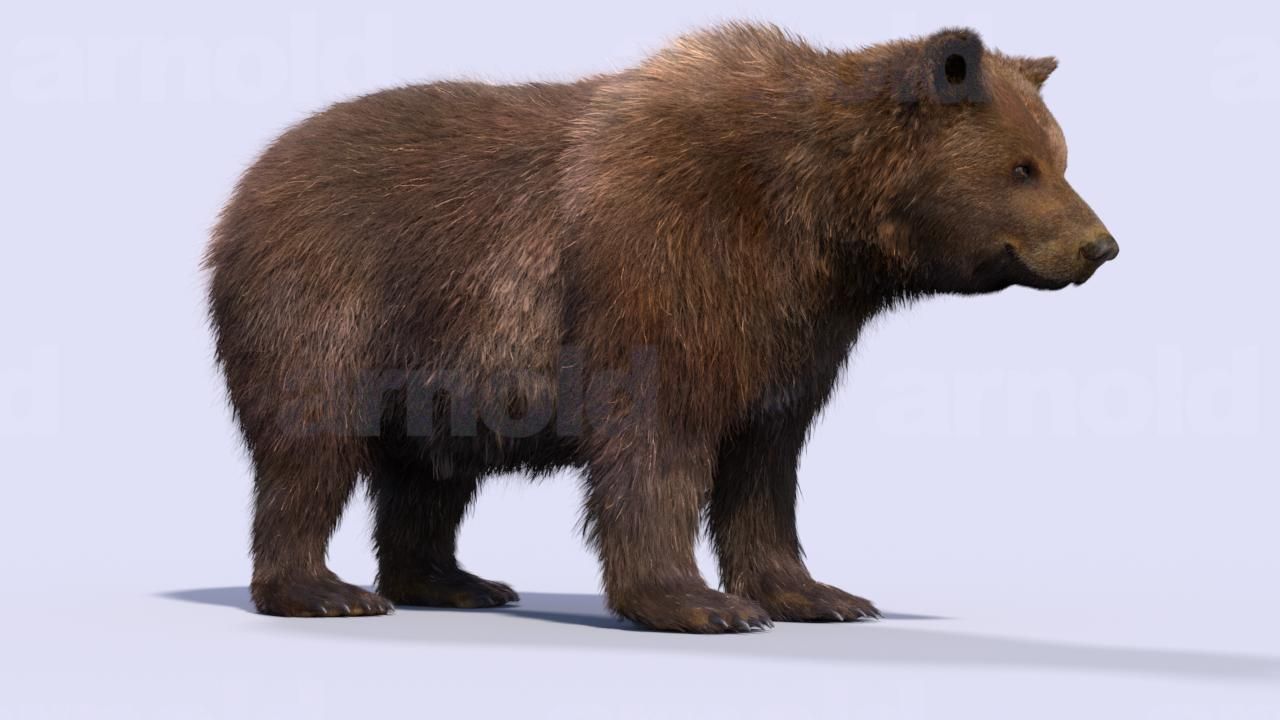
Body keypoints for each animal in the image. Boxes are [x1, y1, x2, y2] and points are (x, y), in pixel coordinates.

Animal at [205, 23, 1117, 633]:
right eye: (1022, 167)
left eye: (1060, 157)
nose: (1099, 245)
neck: (812, 218)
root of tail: (251, 176)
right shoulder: (665, 264)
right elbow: (656, 440)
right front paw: (698, 602)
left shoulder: (788, 327)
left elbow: (765, 461)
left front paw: (817, 595)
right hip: (337, 299)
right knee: (310, 445)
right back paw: (325, 591)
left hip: (441, 356)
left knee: (430, 472)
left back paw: (454, 580)